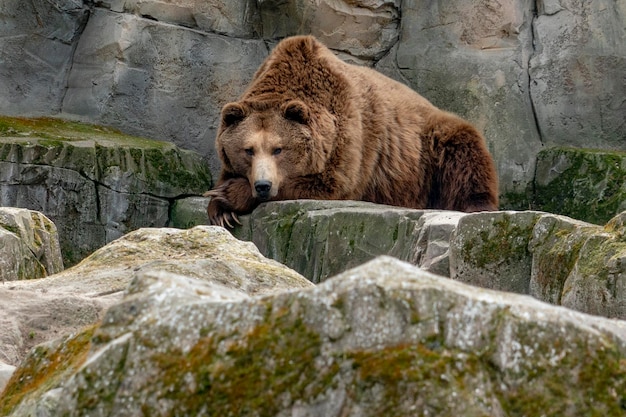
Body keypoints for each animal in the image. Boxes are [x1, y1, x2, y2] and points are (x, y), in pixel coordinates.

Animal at [205, 35, 498, 228]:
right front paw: (220, 208)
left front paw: (228, 195)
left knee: (465, 150)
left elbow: (327, 183)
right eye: (248, 150)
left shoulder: (347, 141)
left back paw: (475, 204)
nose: (263, 185)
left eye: (279, 149)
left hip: (429, 145)